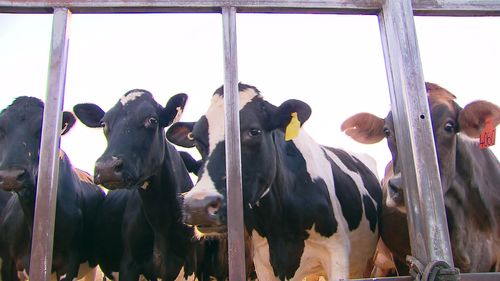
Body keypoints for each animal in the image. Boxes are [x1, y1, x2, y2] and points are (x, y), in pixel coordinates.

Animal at [73, 88, 227, 278]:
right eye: (104, 124)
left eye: (152, 120)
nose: (107, 167)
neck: (161, 220)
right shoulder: (129, 264)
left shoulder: (190, 264)